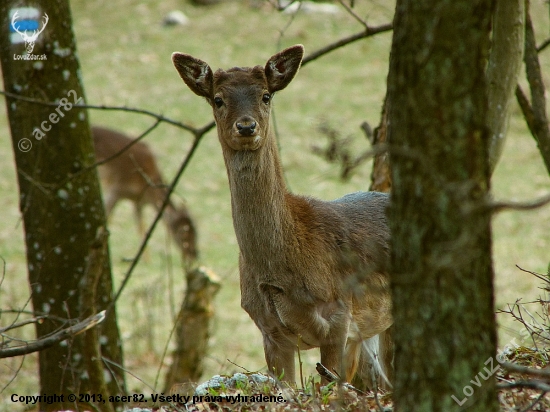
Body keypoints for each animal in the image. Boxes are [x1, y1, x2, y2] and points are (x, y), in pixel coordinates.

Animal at [92, 124, 198, 264]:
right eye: (182, 233)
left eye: (196, 232)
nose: (194, 255)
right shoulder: (116, 189)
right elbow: (107, 219)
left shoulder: (138, 202)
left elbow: (141, 228)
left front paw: (146, 260)